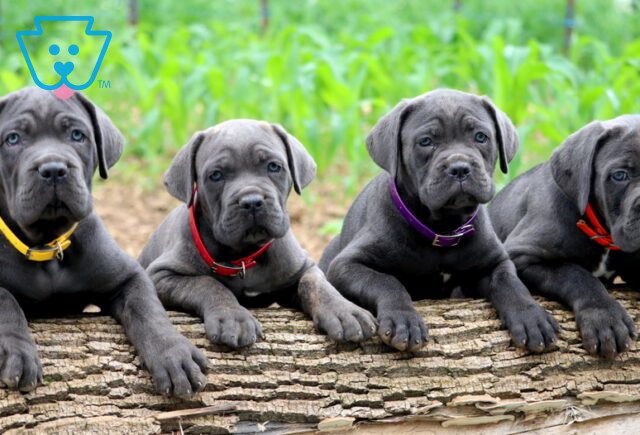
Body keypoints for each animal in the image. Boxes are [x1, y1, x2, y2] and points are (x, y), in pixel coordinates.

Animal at [0, 87, 208, 398]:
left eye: (77, 135)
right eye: (13, 139)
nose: (53, 169)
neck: (47, 243)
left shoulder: (128, 276)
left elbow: (148, 310)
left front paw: (173, 354)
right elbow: (6, 302)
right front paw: (17, 352)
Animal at [140, 120, 378, 350]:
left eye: (274, 166)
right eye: (215, 175)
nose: (251, 200)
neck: (245, 256)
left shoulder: (302, 267)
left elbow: (316, 283)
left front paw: (344, 311)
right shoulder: (161, 275)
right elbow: (206, 284)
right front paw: (233, 318)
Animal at [322, 89, 556, 354]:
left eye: (481, 137)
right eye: (425, 141)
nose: (460, 168)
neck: (443, 228)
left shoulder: (495, 262)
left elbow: (510, 283)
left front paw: (531, 317)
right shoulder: (346, 265)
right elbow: (386, 281)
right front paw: (405, 321)